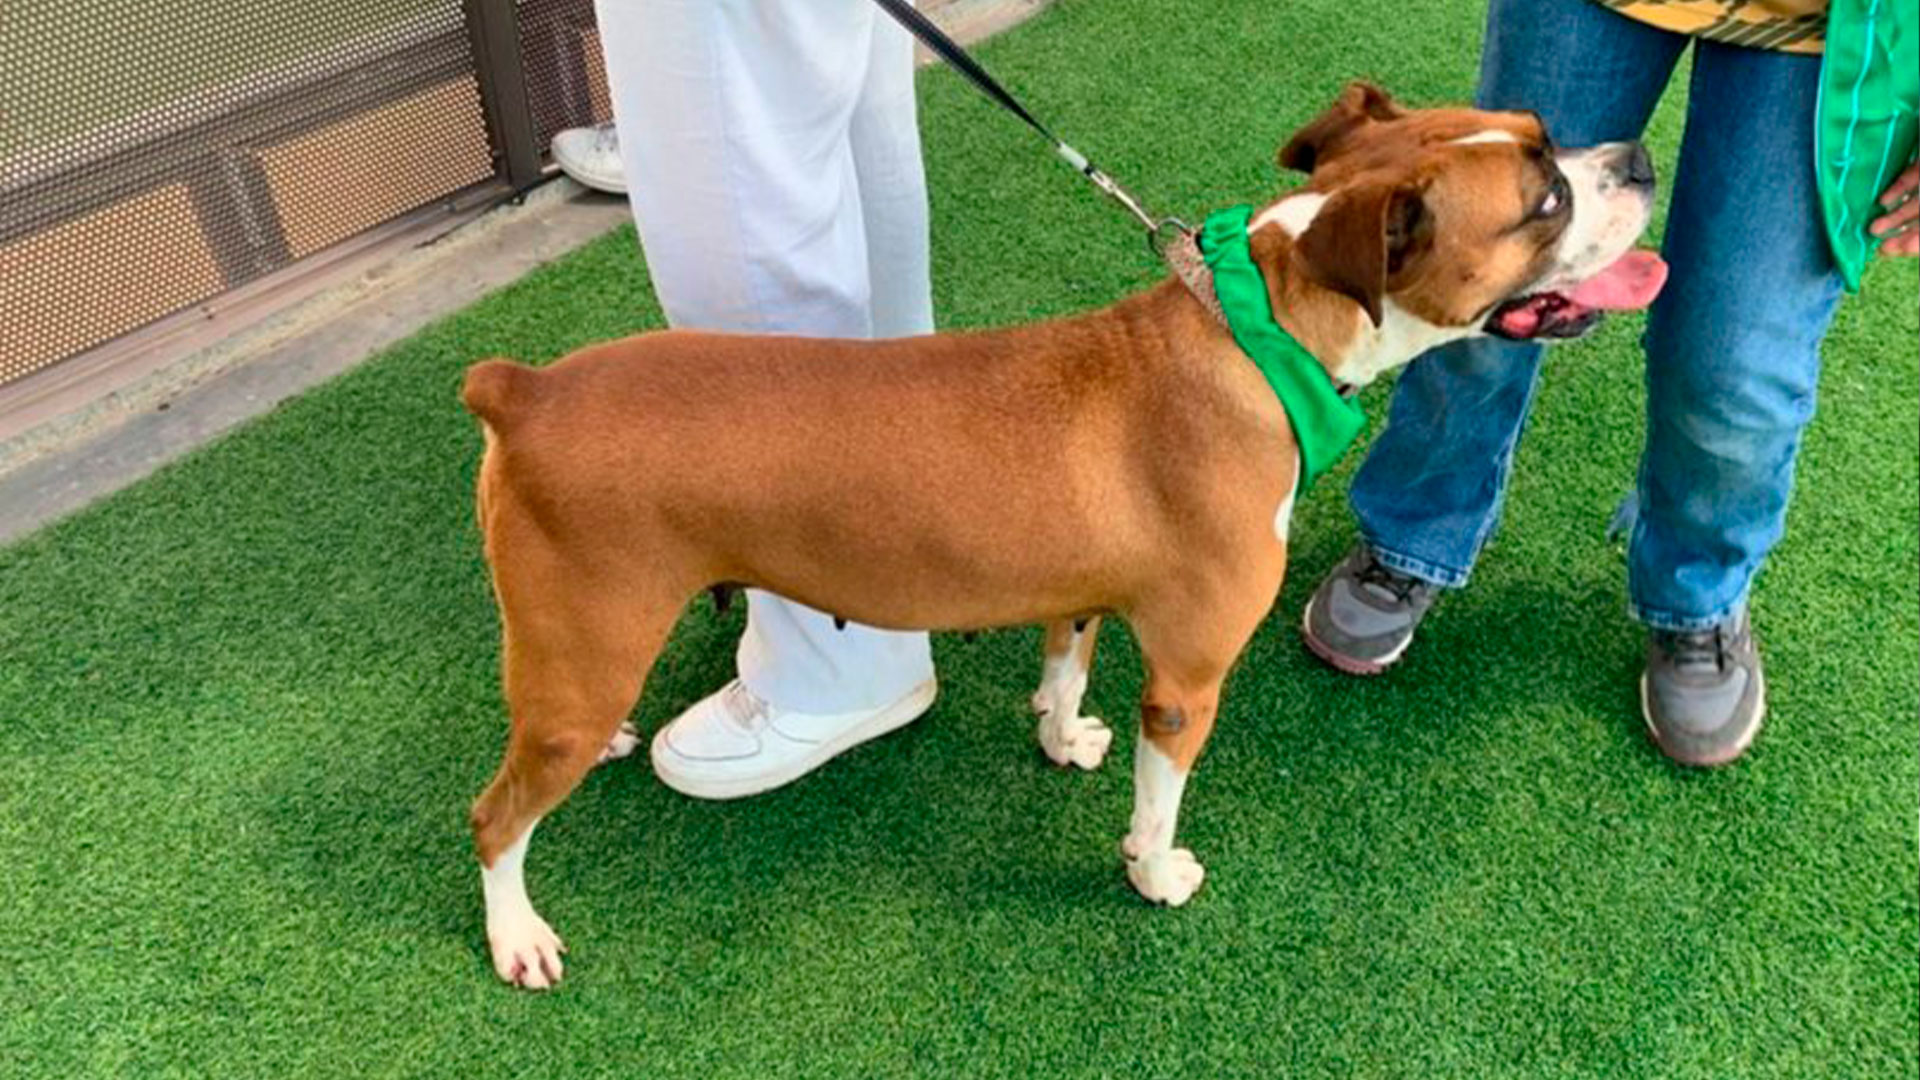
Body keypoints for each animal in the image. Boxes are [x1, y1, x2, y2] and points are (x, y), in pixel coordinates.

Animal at [456, 88, 1658, 991]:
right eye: (1547, 200)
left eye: (1544, 133)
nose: (1640, 157)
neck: (1256, 335)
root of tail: (525, 392)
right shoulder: (1186, 684)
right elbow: (1159, 796)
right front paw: (1153, 872)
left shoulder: (1078, 594)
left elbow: (1064, 665)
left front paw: (1061, 733)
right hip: (586, 649)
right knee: (494, 818)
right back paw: (517, 937)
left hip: (573, 659)